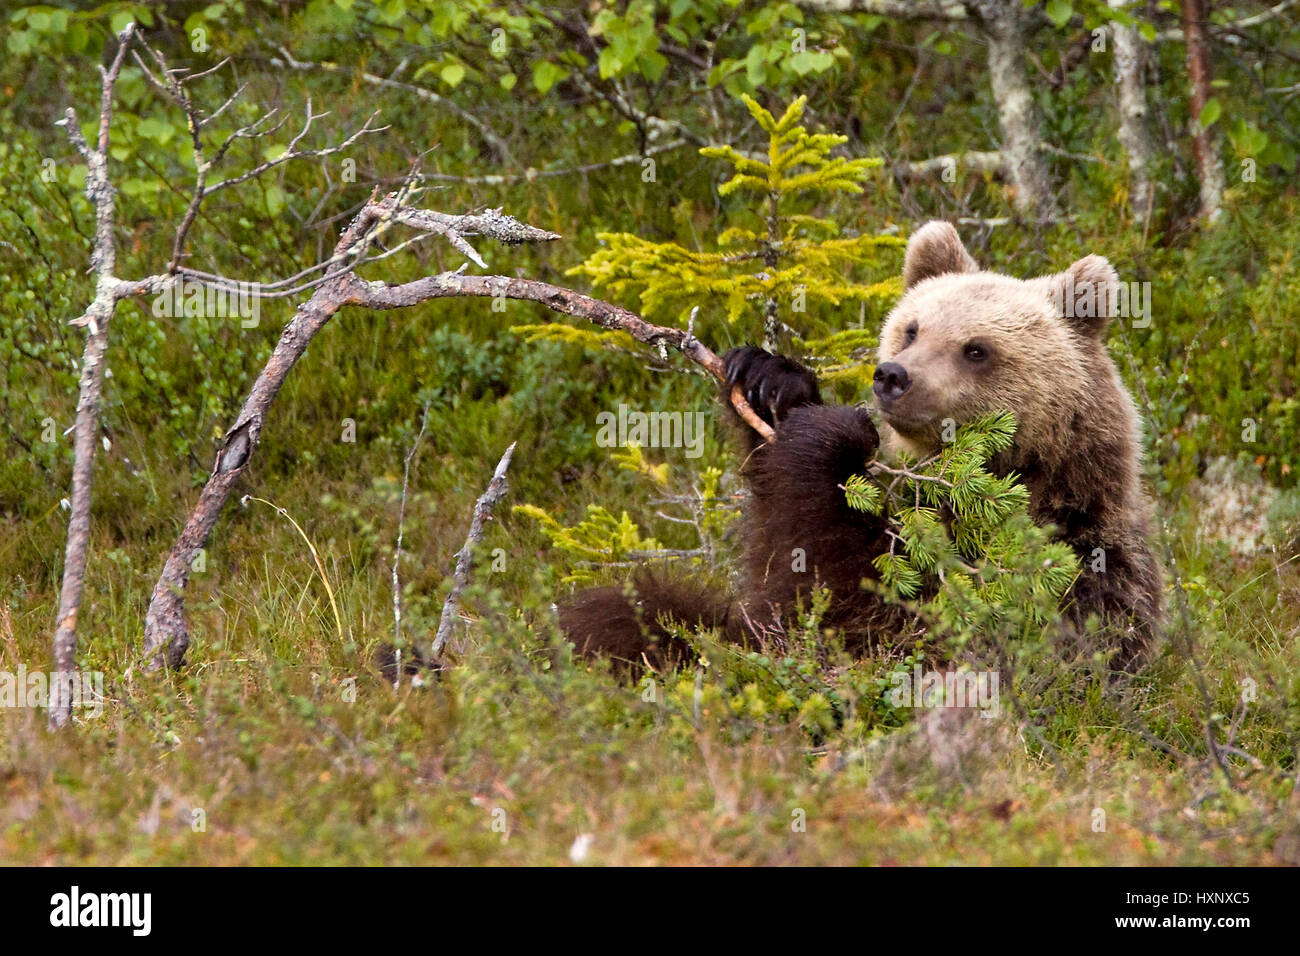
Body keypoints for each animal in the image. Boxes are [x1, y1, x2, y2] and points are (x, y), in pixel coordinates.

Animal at [564, 223, 1164, 671]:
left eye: (976, 349)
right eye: (912, 328)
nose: (892, 376)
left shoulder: (1070, 570)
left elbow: (879, 619)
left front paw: (830, 438)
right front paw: (772, 381)